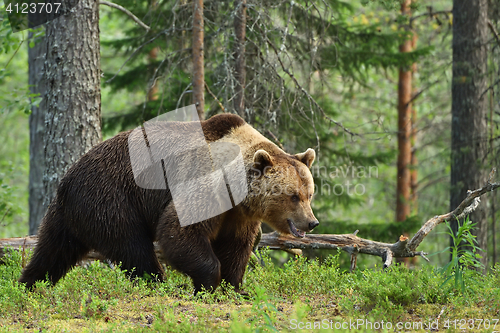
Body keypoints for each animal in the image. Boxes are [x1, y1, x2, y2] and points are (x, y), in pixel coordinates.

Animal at [19, 113, 318, 292]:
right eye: (293, 195)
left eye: (309, 193)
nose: (311, 222)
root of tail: (68, 178)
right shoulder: (205, 185)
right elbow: (179, 231)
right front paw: (207, 284)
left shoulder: (238, 214)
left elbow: (236, 246)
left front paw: (234, 287)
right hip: (111, 198)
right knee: (133, 247)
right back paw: (158, 282)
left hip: (69, 215)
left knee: (52, 250)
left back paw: (28, 284)